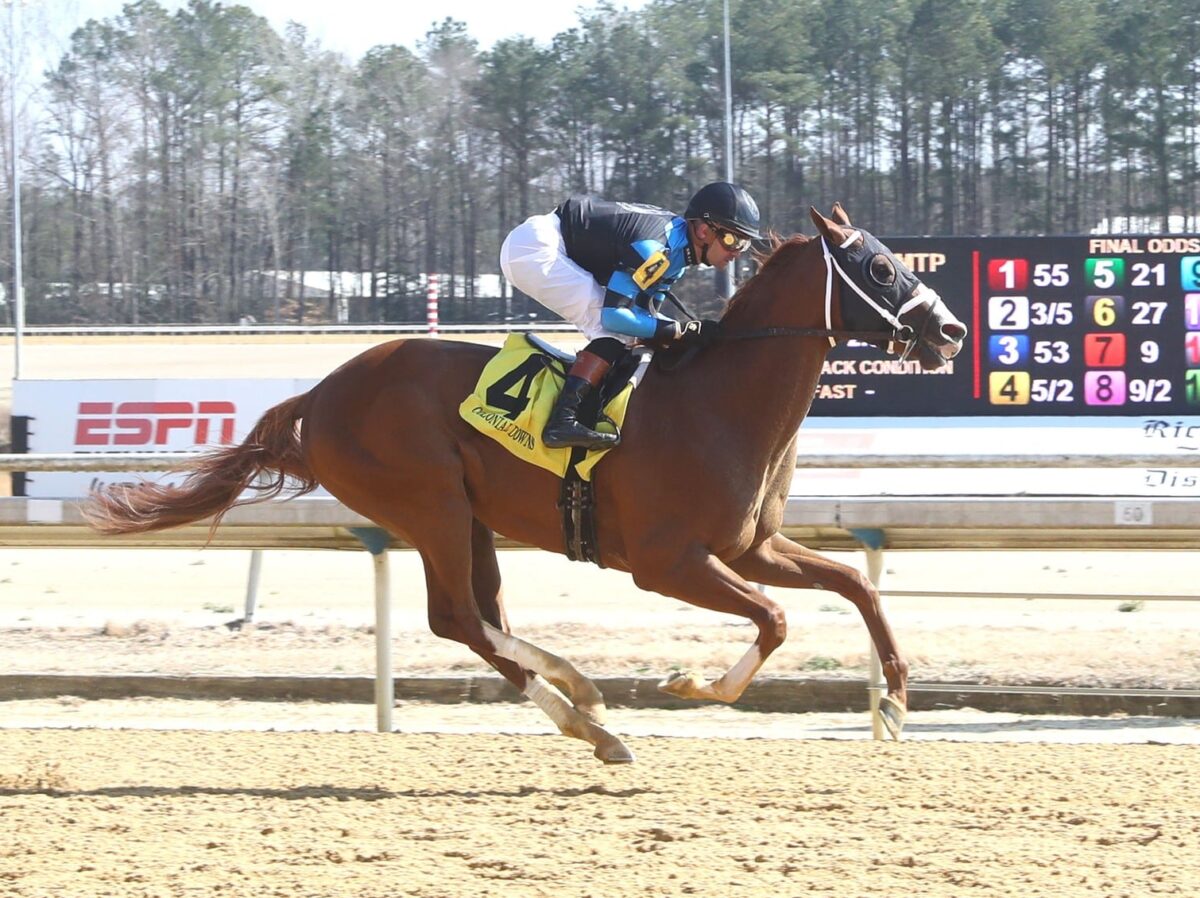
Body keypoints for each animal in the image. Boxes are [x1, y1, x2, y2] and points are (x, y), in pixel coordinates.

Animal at [87, 206, 964, 763]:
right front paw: (687, 682)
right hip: (430, 504)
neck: (719, 400)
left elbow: (856, 584)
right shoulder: (668, 563)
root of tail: (321, 393)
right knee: (459, 620)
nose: (952, 329)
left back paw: (587, 713)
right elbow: (777, 619)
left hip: (469, 519)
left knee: (479, 620)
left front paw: (895, 699)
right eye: (879, 267)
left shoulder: (751, 546)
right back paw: (587, 707)